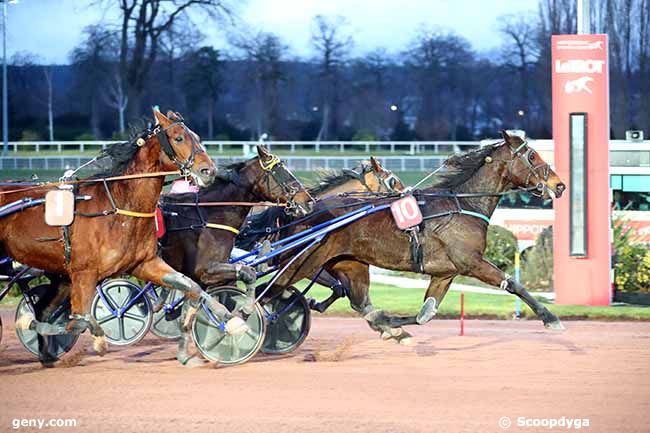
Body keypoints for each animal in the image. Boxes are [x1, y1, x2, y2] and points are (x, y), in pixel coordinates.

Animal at [0, 109, 240, 364]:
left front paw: (227, 322)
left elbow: (190, 285)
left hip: (60, 275)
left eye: (197, 136)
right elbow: (80, 320)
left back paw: (47, 355)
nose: (209, 171)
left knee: (44, 309)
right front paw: (97, 340)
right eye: (179, 138)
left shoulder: (144, 263)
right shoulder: (84, 273)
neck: (118, 207)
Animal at [256, 132, 560, 340]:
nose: (559, 185)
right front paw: (550, 318)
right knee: (265, 292)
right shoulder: (471, 262)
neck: (463, 204)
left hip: (348, 263)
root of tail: (301, 211)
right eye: (532, 156)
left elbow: (424, 314)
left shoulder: (444, 273)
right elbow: (513, 284)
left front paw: (392, 326)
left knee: (358, 301)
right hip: (302, 262)